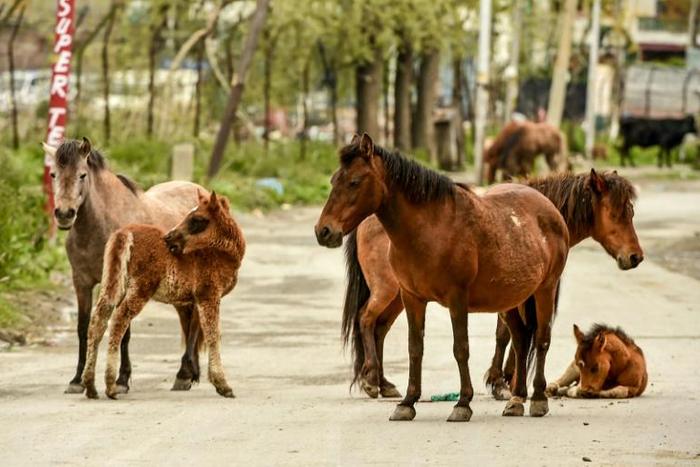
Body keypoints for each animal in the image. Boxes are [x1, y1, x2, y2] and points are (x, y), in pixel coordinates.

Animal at [44, 138, 205, 394]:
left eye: (82, 175)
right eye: (53, 174)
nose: (65, 214)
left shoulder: (123, 283)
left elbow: (123, 330)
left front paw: (121, 380)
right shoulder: (81, 282)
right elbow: (82, 328)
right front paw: (77, 380)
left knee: (196, 320)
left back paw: (183, 375)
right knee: (187, 318)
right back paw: (189, 374)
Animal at [82, 191, 245, 399]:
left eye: (197, 220)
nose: (168, 238)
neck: (218, 253)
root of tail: (125, 232)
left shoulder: (195, 299)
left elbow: (195, 331)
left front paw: (188, 377)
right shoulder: (209, 294)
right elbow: (213, 334)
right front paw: (222, 385)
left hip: (113, 280)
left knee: (98, 319)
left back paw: (90, 386)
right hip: (141, 287)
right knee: (119, 319)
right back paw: (111, 386)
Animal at [316, 133, 569, 421]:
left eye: (354, 181)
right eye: (334, 180)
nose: (324, 231)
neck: (432, 227)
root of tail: (550, 210)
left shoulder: (457, 298)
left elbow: (461, 348)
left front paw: (463, 403)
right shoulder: (412, 297)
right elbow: (415, 348)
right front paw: (407, 402)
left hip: (545, 289)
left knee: (542, 339)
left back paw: (538, 399)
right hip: (513, 298)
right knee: (521, 340)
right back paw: (516, 401)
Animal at [343, 169, 643, 400]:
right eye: (618, 213)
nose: (635, 256)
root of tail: (367, 220)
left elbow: (511, 334)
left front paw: (506, 380)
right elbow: (507, 334)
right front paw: (503, 382)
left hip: (400, 296)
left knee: (380, 328)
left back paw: (384, 384)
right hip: (389, 291)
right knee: (366, 319)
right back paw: (372, 379)